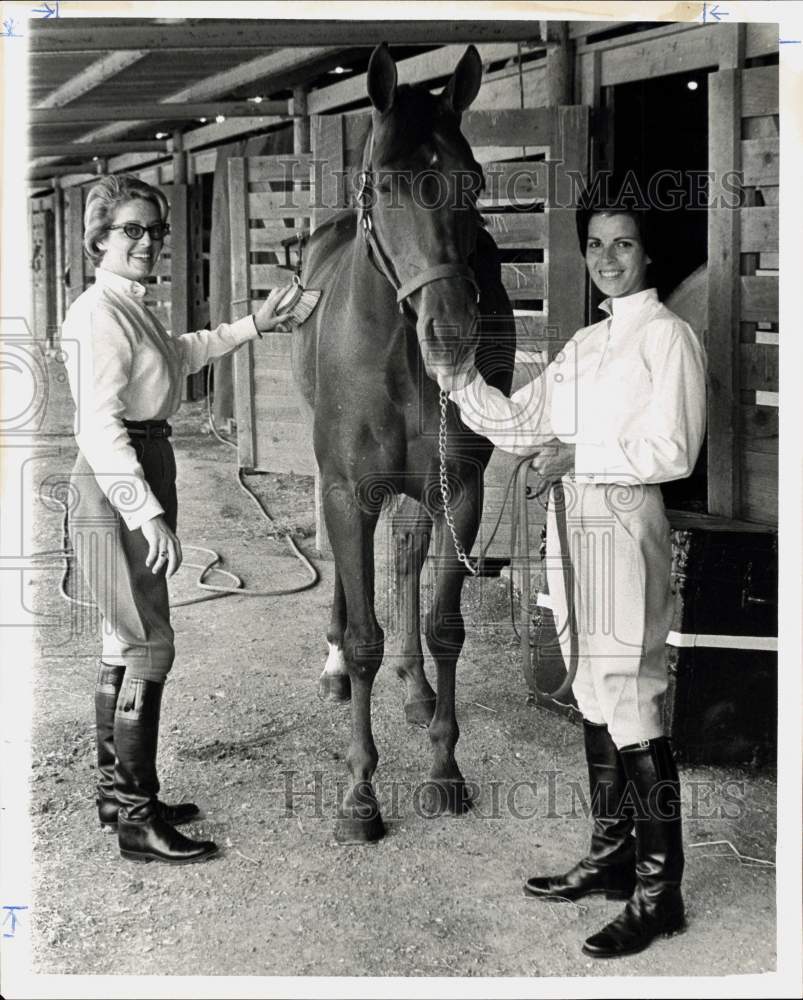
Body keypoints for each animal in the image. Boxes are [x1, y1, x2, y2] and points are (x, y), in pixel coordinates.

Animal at [294, 47, 516, 844]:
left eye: (472, 181)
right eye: (383, 183)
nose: (450, 335)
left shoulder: (463, 489)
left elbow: (444, 624)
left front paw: (444, 768)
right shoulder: (350, 490)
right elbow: (366, 636)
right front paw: (360, 795)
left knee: (407, 557)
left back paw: (417, 689)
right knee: (350, 580)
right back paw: (334, 668)